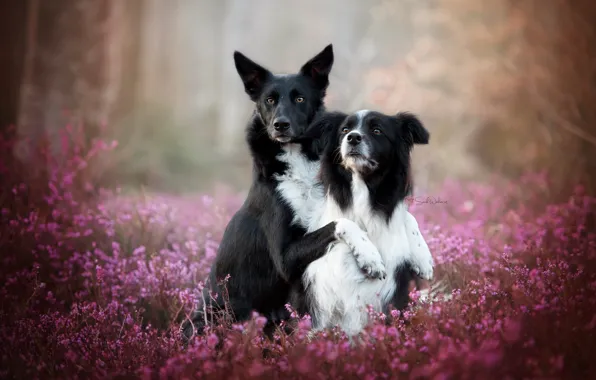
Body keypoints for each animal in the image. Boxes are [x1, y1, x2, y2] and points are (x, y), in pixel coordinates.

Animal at [182, 44, 384, 342]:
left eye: (300, 98)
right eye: (269, 100)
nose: (280, 124)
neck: (296, 161)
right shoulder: (286, 258)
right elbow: (342, 223)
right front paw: (370, 256)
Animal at [292, 110, 436, 338]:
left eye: (377, 130)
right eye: (344, 130)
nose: (353, 137)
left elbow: (406, 215)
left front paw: (423, 258)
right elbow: (343, 222)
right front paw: (370, 258)